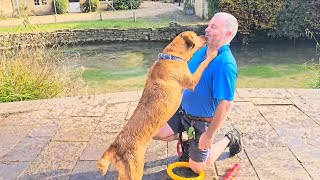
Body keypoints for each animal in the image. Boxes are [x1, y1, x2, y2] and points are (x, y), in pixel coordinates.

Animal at [97, 31, 218, 180]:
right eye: (196, 36)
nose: (206, 35)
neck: (172, 56)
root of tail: (115, 146)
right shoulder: (192, 81)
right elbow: (203, 64)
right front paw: (212, 54)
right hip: (136, 170)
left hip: (124, 172)